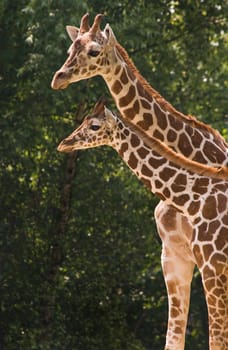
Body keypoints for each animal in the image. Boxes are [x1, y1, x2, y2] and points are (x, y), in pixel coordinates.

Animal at [51, 15, 228, 348]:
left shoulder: (213, 265)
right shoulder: (173, 259)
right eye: (70, 48)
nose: (59, 78)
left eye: (94, 51)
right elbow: (173, 339)